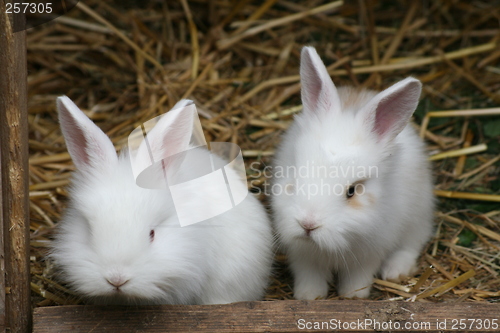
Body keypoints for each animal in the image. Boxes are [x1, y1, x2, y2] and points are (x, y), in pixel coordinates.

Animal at [270, 46, 434, 298]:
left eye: (352, 191)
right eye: (296, 177)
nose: (308, 225)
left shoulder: (370, 251)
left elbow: (358, 277)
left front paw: (353, 296)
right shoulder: (303, 255)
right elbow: (309, 275)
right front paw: (309, 296)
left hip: (418, 216)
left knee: (412, 243)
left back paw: (395, 271)